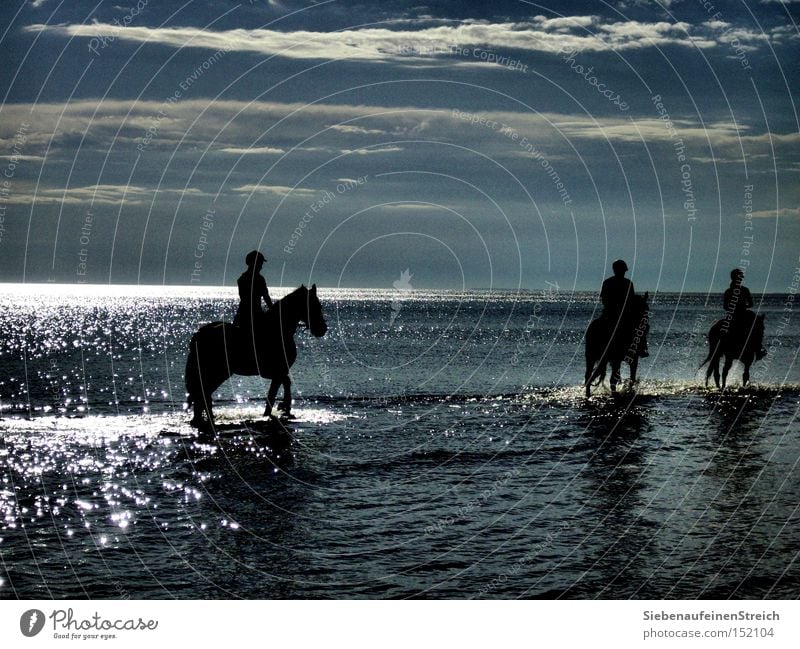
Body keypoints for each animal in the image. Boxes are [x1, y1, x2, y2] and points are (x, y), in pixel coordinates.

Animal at [186, 284, 326, 428]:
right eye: (315, 306)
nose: (322, 329)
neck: (277, 330)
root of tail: (199, 334)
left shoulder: (277, 372)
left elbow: (278, 389)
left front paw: (280, 408)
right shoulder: (276, 371)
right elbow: (279, 388)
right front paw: (282, 406)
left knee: (203, 395)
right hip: (218, 373)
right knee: (202, 394)